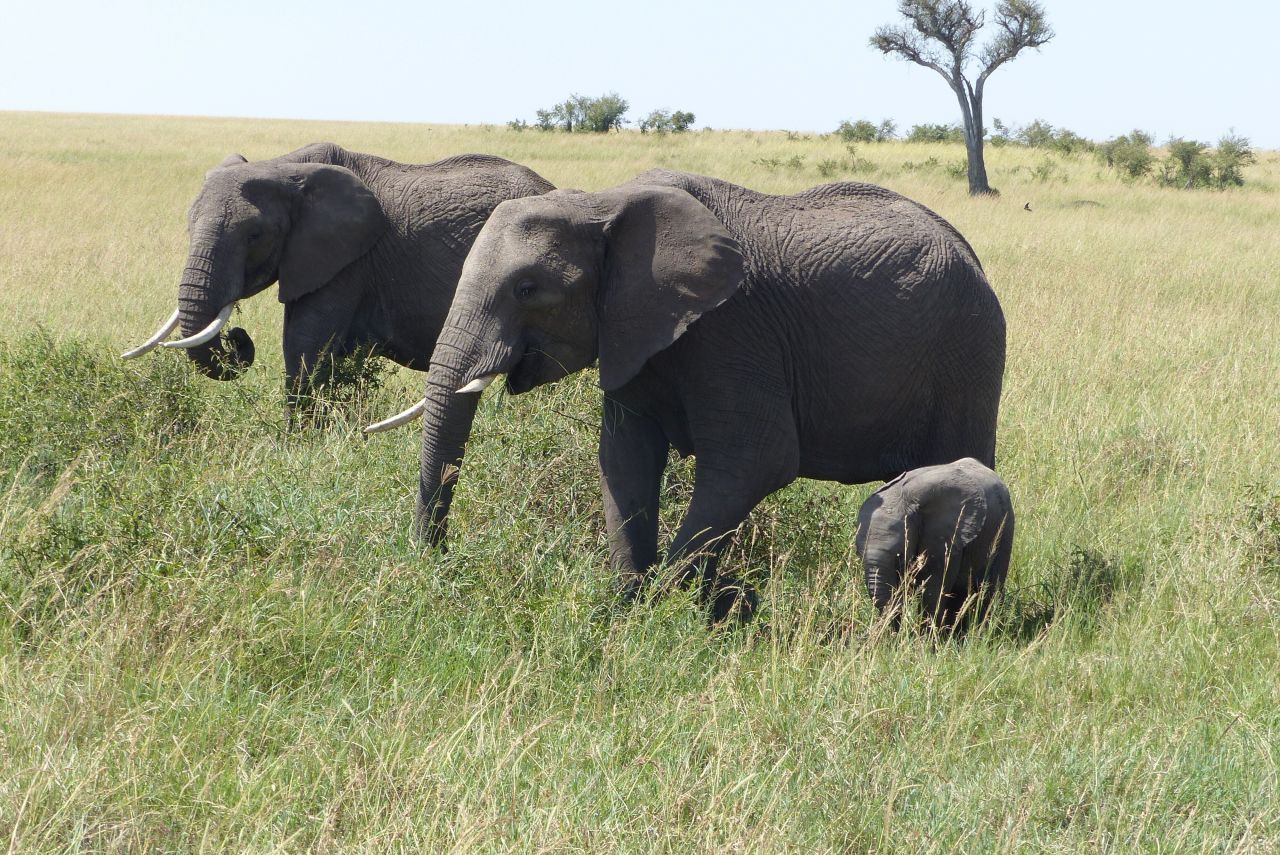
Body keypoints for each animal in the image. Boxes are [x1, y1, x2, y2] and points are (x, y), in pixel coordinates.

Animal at [120, 142, 555, 407]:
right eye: (188, 225)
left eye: (254, 236)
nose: (237, 338)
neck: (284, 166)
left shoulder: (349, 261)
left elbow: (303, 345)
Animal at [855, 458, 1013, 632]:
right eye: (858, 555)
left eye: (900, 557)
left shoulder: (944, 538)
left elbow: (933, 590)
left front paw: (928, 638)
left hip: (1005, 526)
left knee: (990, 587)